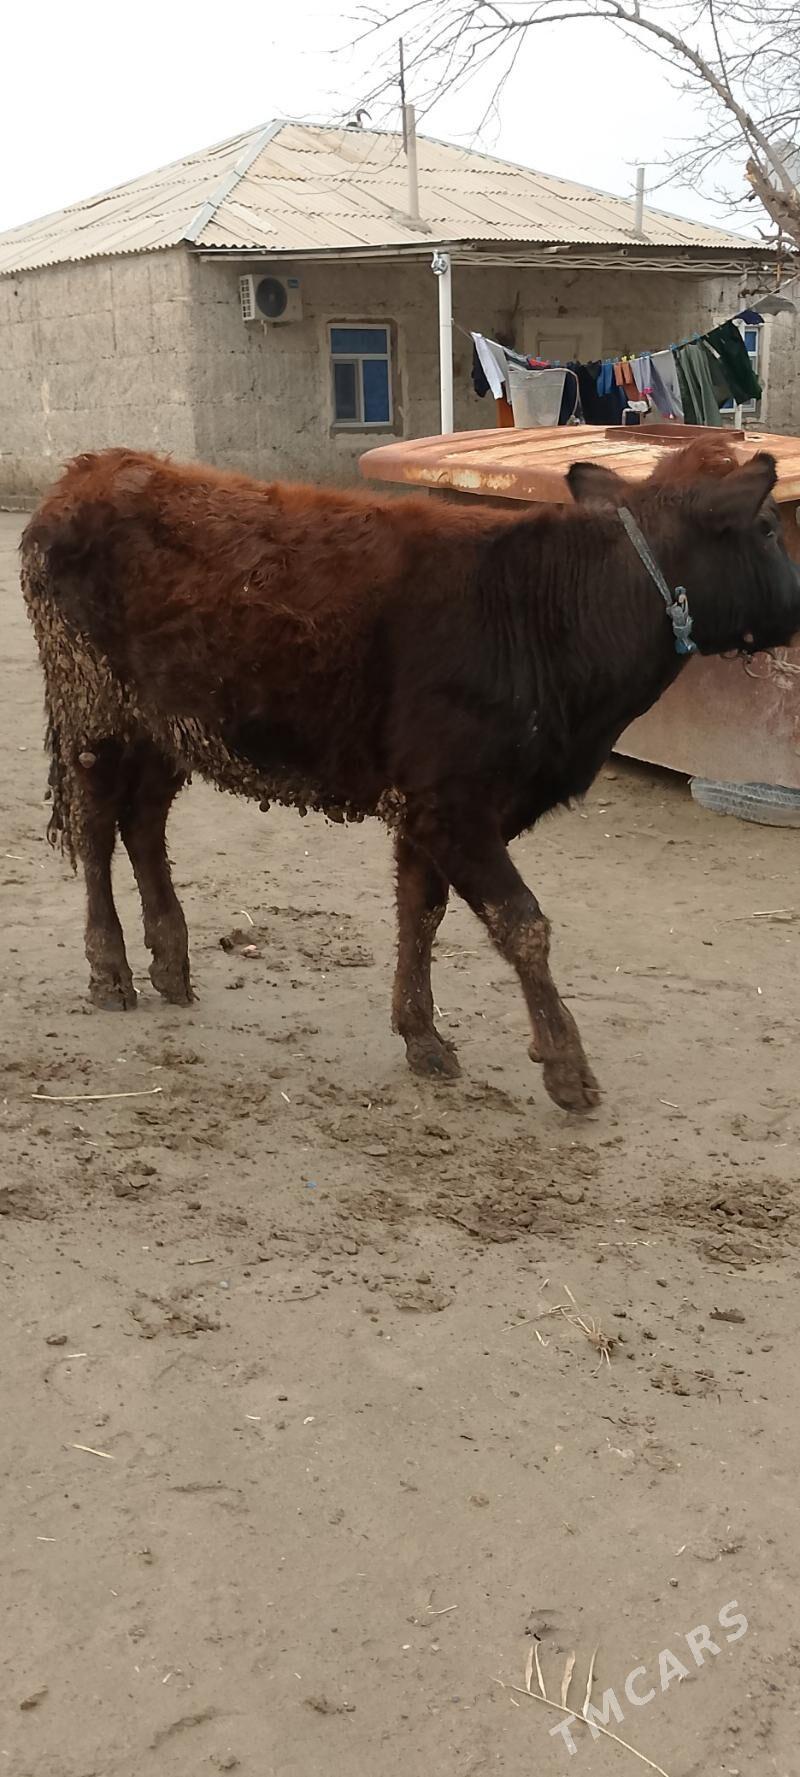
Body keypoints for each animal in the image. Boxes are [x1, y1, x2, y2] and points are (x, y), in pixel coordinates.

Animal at [20, 440, 800, 1115]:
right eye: (767, 526)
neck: (548, 613)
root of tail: (92, 468)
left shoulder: (429, 807)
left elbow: (420, 913)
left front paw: (421, 1036)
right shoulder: (451, 803)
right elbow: (522, 922)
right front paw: (565, 1066)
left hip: (164, 726)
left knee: (144, 825)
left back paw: (171, 965)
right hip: (92, 709)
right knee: (96, 830)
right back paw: (110, 969)